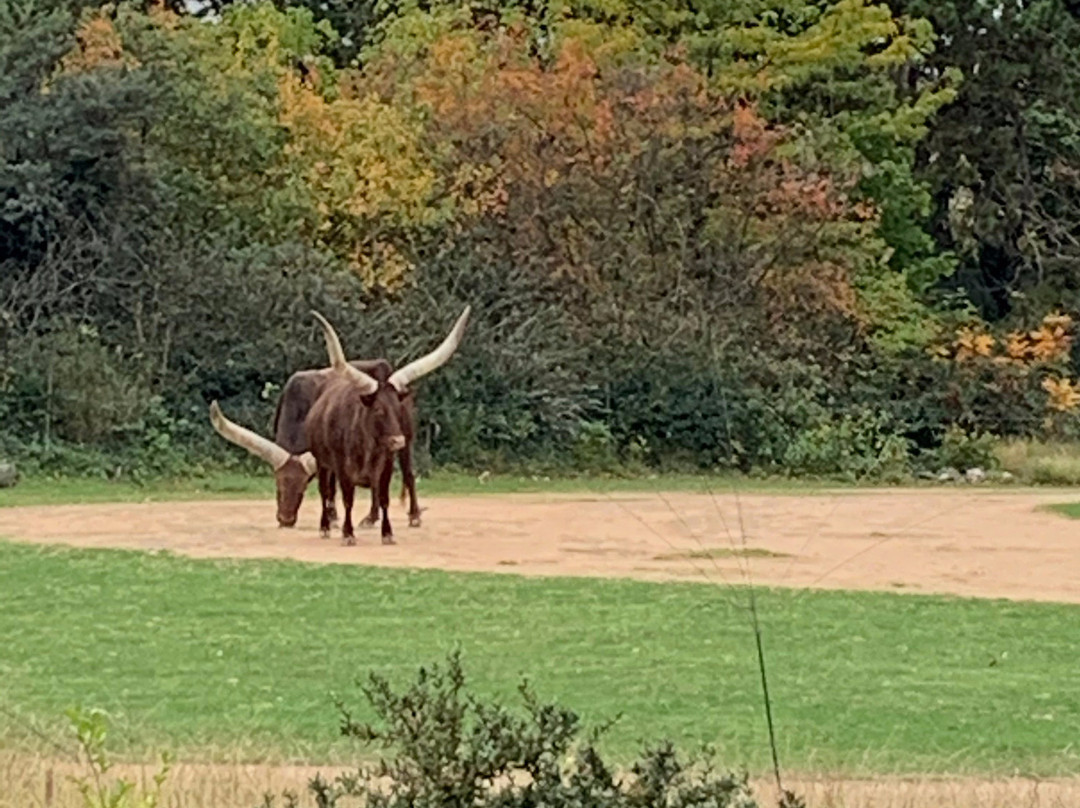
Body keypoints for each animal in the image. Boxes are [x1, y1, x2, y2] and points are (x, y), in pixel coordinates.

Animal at [306, 306, 470, 546]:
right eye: (378, 410)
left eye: (397, 408)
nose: (397, 440)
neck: (366, 445)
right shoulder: (342, 468)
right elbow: (346, 499)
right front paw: (347, 533)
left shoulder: (386, 465)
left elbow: (384, 498)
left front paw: (387, 533)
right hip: (322, 461)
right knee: (324, 491)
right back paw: (325, 527)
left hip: (405, 449)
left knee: (408, 475)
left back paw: (412, 516)